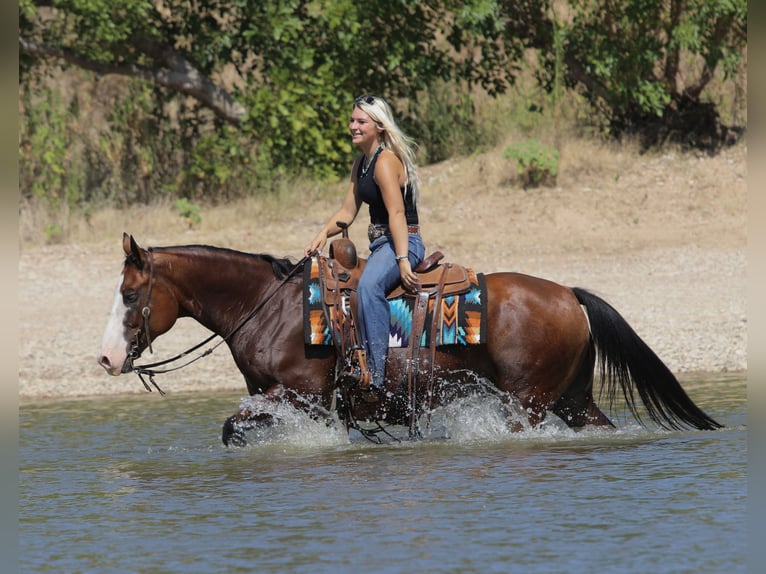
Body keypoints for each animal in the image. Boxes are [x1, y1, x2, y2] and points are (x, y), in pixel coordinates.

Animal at [98, 233, 721, 445]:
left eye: (129, 294)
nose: (105, 357)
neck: (270, 307)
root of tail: (568, 294)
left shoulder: (298, 393)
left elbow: (231, 427)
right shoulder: (296, 401)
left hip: (527, 403)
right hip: (573, 399)